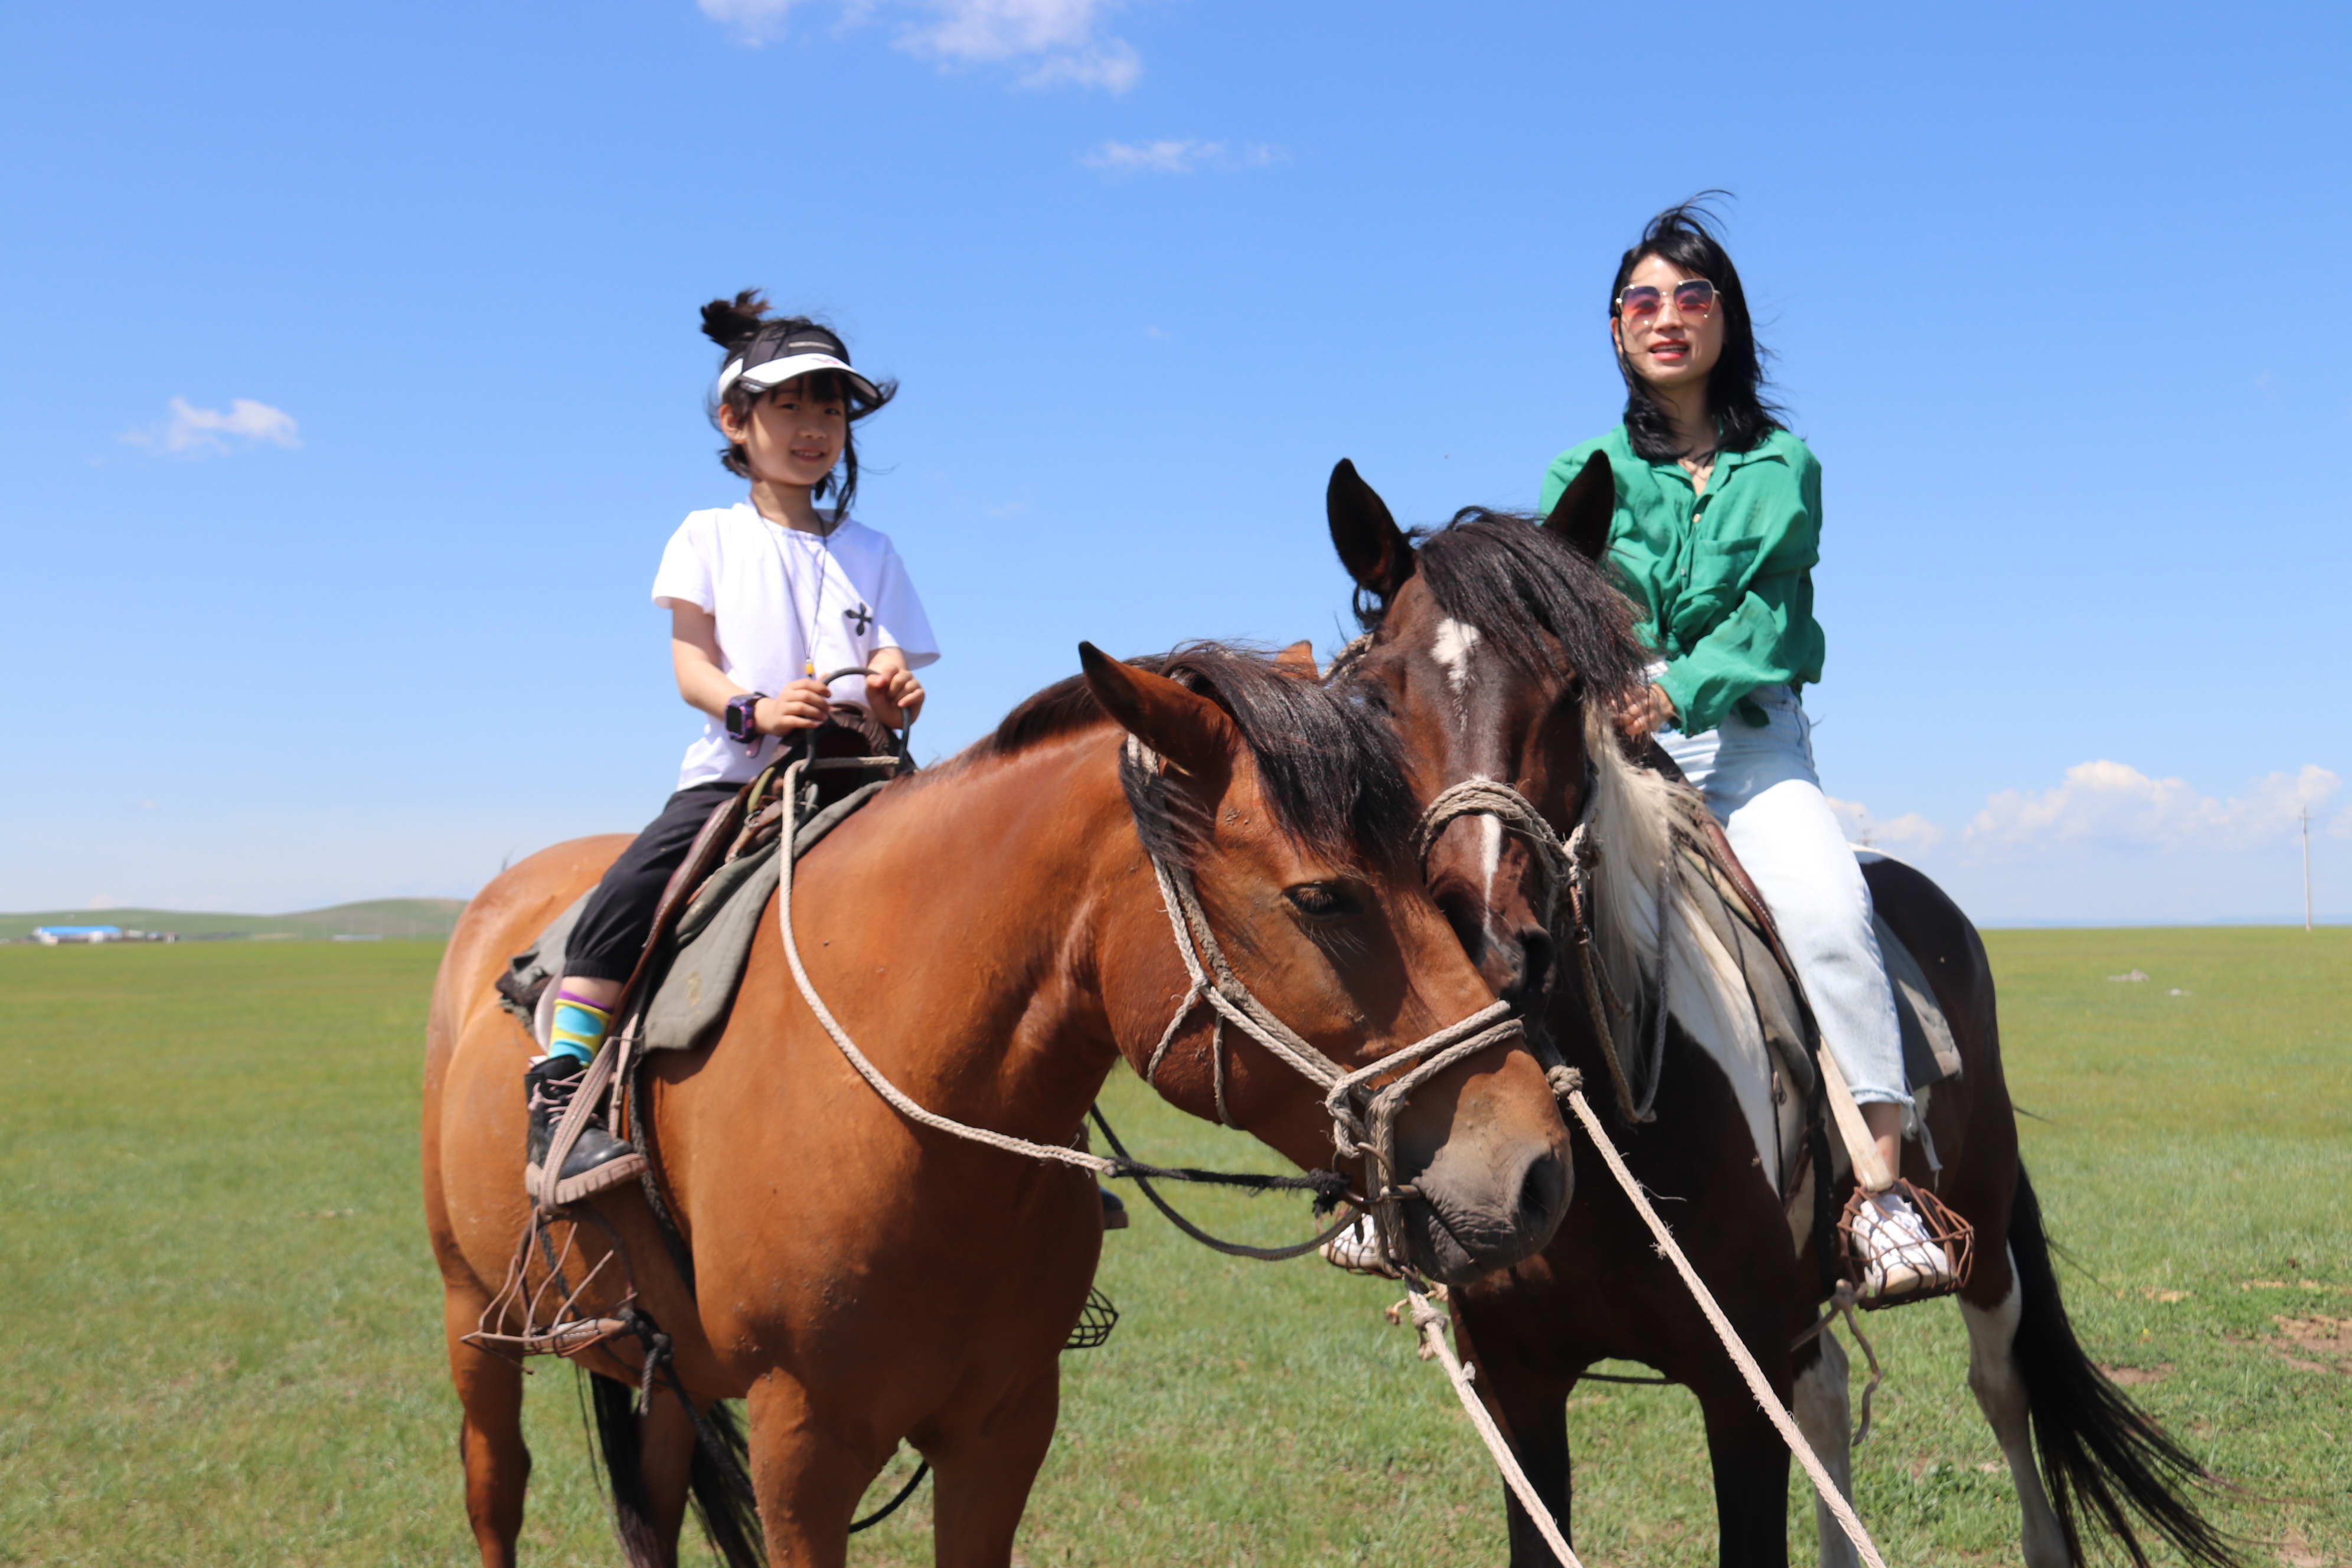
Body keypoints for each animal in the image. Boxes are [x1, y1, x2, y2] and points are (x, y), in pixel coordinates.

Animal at [423, 639, 1571, 1568]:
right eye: (1321, 898)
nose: (1538, 1172)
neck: (916, 1137)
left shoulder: (1002, 1429)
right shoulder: (804, 1447)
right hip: (471, 1318)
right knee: (496, 1494)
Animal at [1326, 456, 2239, 1568]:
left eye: (1570, 687)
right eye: (1370, 696)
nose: (1489, 948)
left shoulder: (1737, 1384)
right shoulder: (1516, 1383)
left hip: (1979, 1230)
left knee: (2000, 1386)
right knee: (1833, 1393)